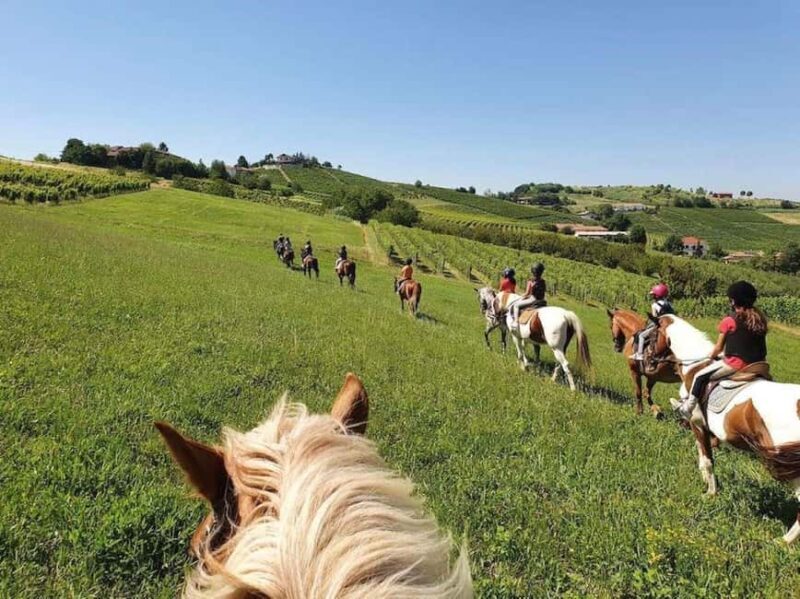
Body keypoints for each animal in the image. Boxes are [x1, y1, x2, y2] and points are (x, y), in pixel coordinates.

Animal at [655, 315, 800, 544]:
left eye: (651, 334)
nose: (650, 360)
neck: (696, 366)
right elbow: (702, 458)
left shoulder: (698, 424)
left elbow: (707, 461)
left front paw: (710, 493)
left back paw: (783, 542)